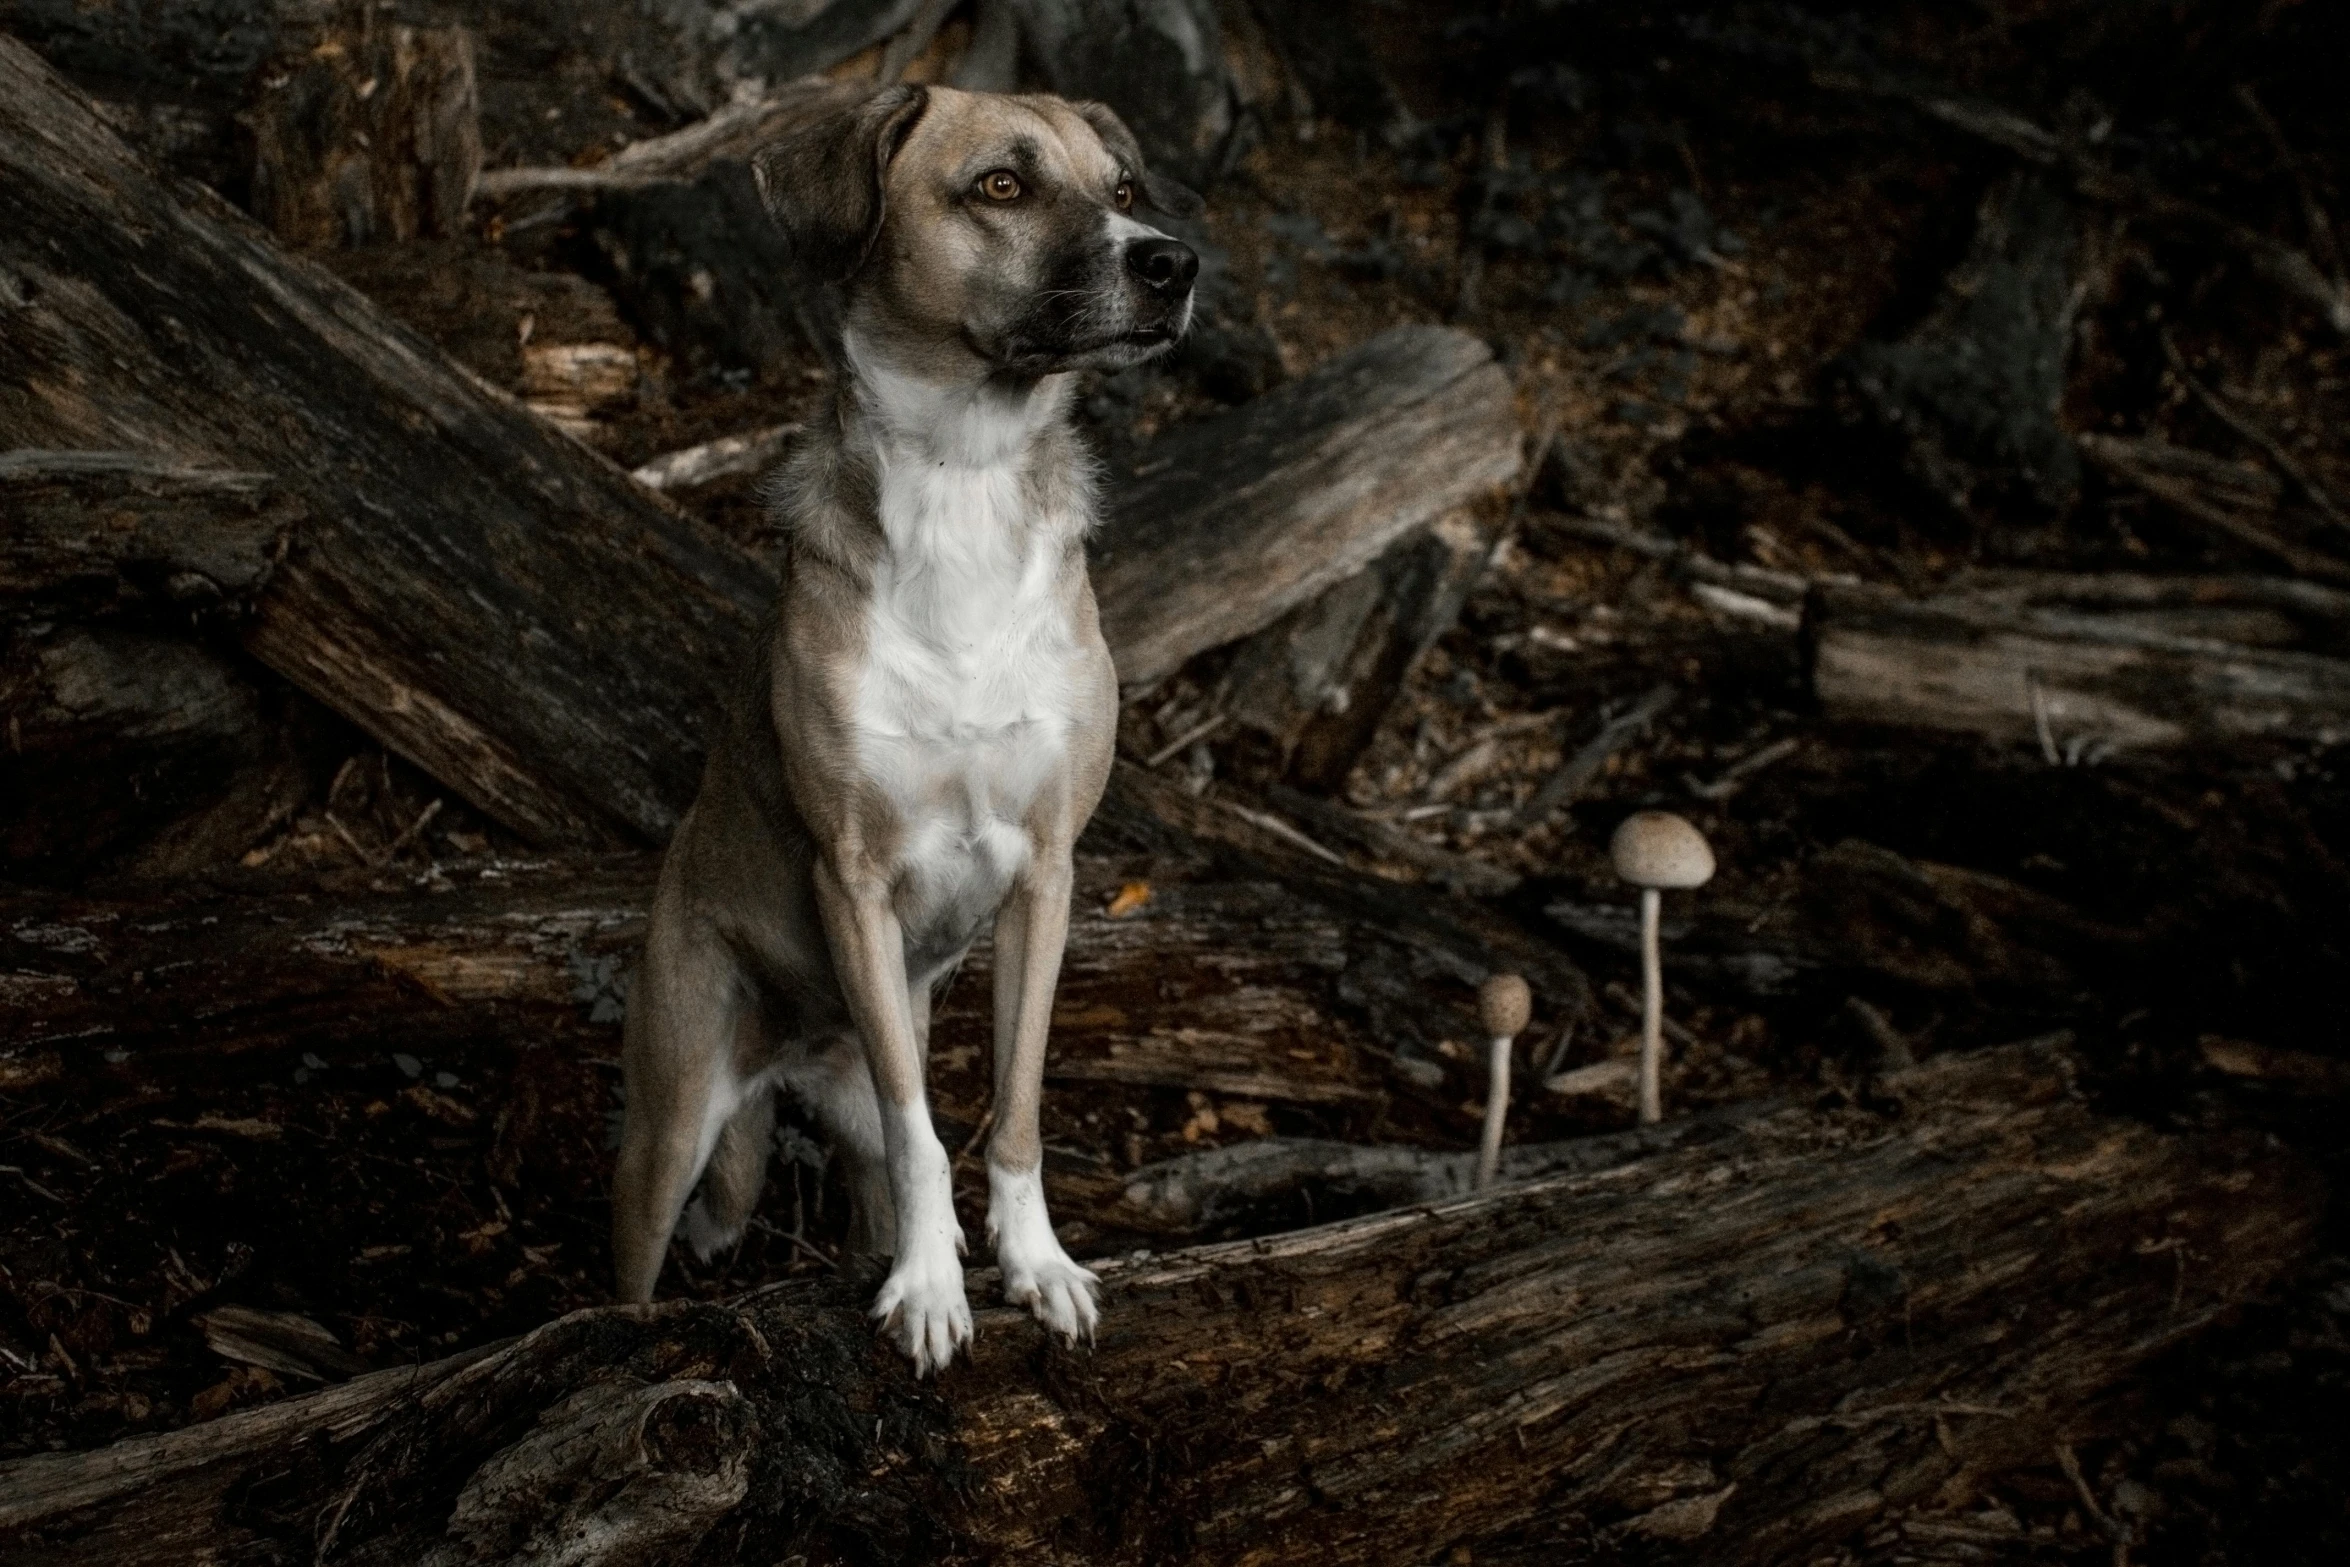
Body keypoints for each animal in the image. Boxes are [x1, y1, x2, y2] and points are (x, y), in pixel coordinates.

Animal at [611, 85, 1193, 1372]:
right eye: (1002, 187)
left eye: (1124, 189)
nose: (1174, 262)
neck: (965, 474)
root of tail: (782, 1061)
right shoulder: (855, 879)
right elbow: (925, 1125)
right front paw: (931, 1288)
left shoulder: (1047, 876)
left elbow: (1012, 1109)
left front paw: (1036, 1265)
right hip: (668, 1115)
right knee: (640, 1256)